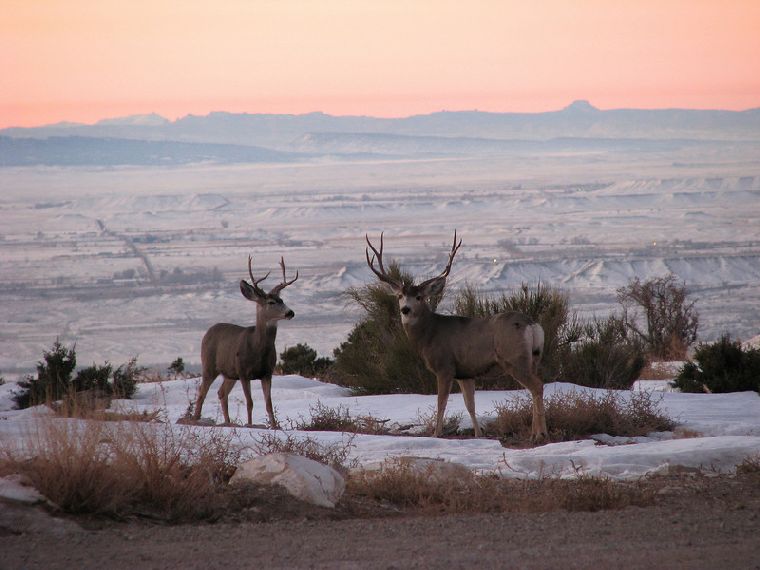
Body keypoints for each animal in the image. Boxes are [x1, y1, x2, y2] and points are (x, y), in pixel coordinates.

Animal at [194, 255, 298, 424]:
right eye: (271, 302)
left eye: (282, 299)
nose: (290, 312)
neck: (257, 348)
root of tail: (209, 331)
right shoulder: (243, 372)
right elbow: (250, 403)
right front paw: (250, 424)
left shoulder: (267, 373)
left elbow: (269, 404)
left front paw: (274, 426)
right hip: (209, 364)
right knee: (202, 392)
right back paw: (196, 419)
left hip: (229, 373)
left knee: (221, 392)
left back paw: (228, 422)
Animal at [366, 231, 548, 440]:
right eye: (399, 296)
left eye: (419, 297)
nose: (405, 309)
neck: (430, 333)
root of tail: (532, 324)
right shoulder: (465, 372)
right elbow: (470, 405)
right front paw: (478, 434)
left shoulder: (445, 366)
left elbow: (441, 402)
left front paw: (436, 434)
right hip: (534, 358)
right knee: (534, 387)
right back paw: (534, 433)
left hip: (513, 358)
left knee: (537, 386)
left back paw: (540, 434)